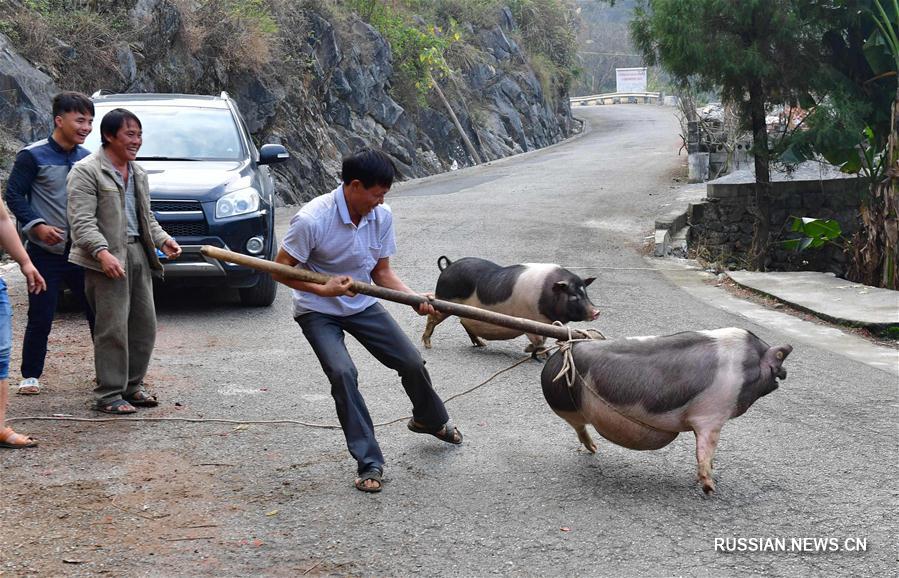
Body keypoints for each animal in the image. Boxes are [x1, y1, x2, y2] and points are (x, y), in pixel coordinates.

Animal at [424, 255, 604, 354]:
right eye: (573, 296)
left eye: (585, 293)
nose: (596, 312)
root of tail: (448, 266)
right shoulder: (530, 319)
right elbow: (539, 341)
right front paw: (535, 353)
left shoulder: (545, 323)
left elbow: (544, 338)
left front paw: (531, 350)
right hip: (445, 300)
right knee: (432, 318)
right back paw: (427, 345)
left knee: (464, 322)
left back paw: (482, 345)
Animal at [536, 326, 792, 492]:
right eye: (779, 359)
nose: (786, 372)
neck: (745, 368)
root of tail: (561, 353)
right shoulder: (711, 415)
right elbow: (705, 448)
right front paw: (710, 488)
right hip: (567, 406)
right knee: (578, 426)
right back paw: (593, 449)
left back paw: (593, 450)